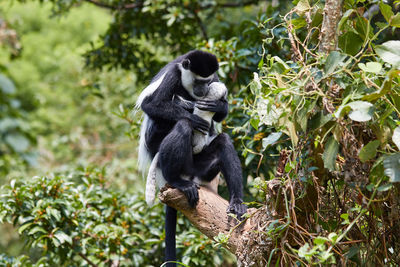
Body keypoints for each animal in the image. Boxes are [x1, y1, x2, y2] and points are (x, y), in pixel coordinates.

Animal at [136, 49, 245, 266]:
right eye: (197, 81)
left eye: (207, 81)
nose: (202, 90)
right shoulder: (172, 75)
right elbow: (151, 105)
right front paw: (194, 117)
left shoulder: (215, 77)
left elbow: (221, 114)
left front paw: (216, 106)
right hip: (166, 155)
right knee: (181, 126)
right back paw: (178, 181)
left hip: (202, 168)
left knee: (224, 141)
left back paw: (237, 203)